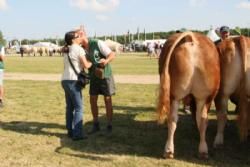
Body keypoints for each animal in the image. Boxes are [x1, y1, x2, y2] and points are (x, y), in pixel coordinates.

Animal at [157, 31, 220, 159]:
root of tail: (191, 37)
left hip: (174, 95)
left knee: (173, 119)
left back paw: (169, 150)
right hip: (205, 97)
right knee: (203, 119)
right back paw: (203, 150)